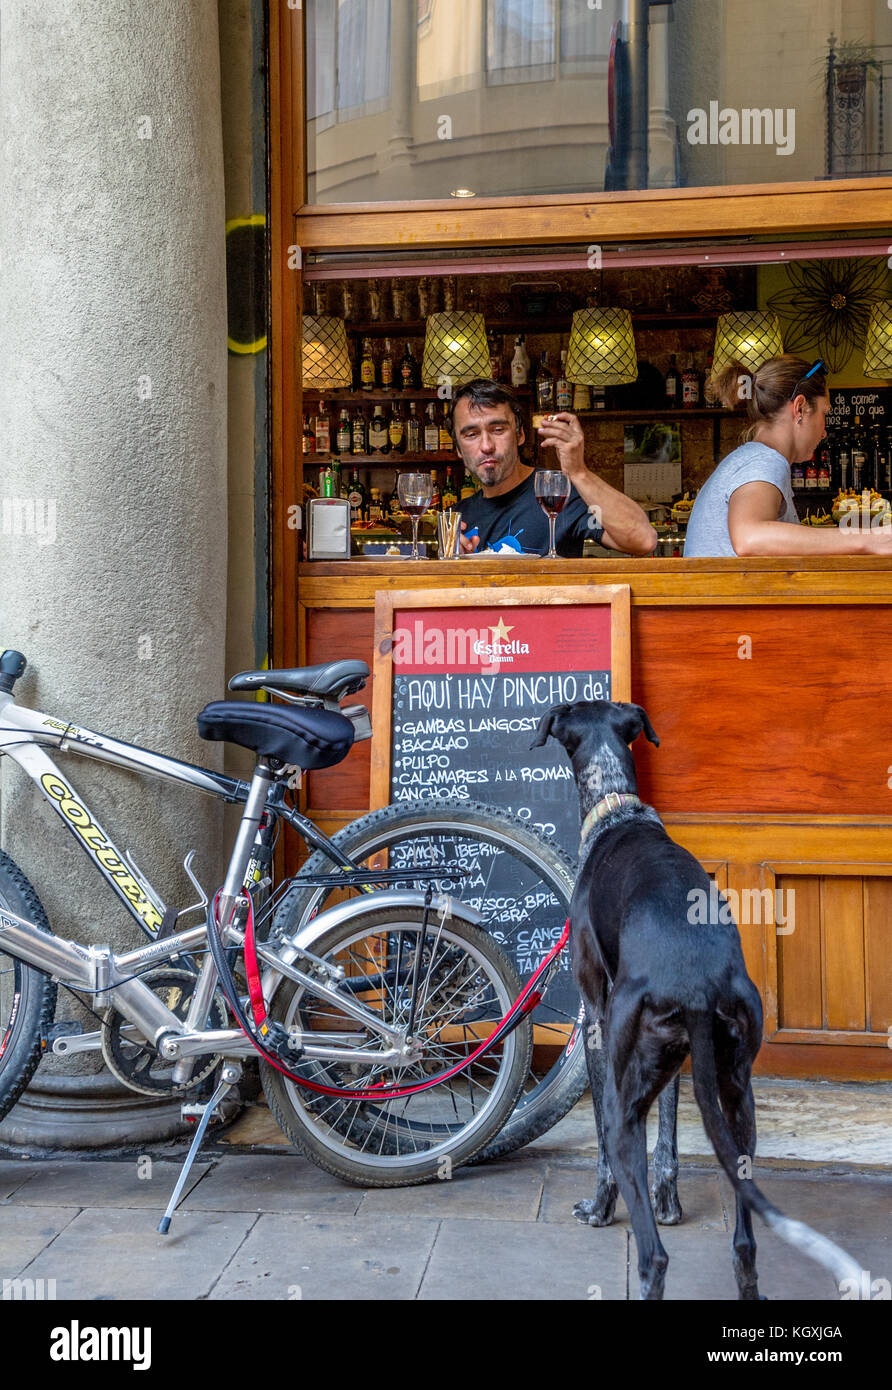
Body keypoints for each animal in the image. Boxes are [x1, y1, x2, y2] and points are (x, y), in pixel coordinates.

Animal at [530, 706, 855, 1301]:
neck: (619, 810)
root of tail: (701, 987)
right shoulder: (678, 1062)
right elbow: (670, 1128)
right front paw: (670, 1199)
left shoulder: (595, 1018)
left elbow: (604, 1144)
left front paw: (598, 1208)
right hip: (737, 1098)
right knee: (744, 1242)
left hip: (627, 1091)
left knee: (653, 1255)